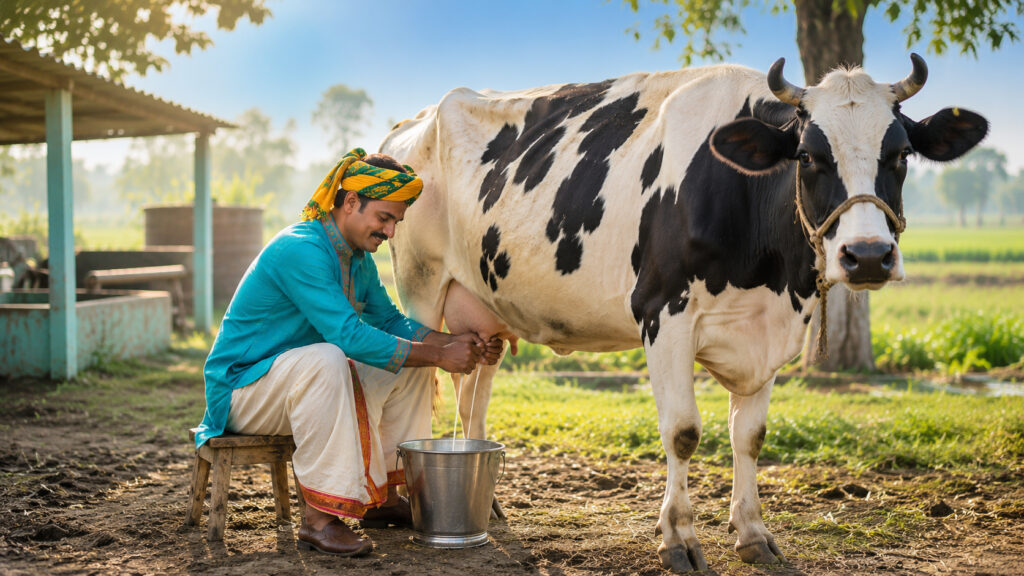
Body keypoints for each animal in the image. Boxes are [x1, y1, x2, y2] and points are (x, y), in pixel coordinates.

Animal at [379, 55, 987, 572]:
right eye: (809, 156)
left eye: (901, 155)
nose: (867, 255)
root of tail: (412, 121)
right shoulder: (663, 316)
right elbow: (683, 433)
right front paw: (678, 539)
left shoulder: (768, 331)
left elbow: (751, 437)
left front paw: (754, 534)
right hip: (419, 283)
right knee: (416, 379)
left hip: (485, 307)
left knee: (473, 392)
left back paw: (488, 501)